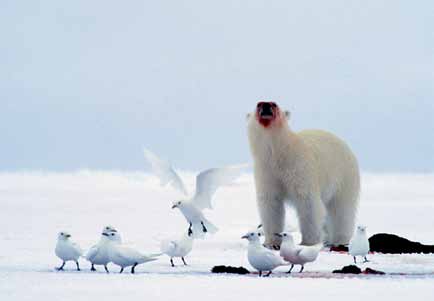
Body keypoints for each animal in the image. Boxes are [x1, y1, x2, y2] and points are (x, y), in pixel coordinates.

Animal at [248, 101, 360, 246]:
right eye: (259, 104)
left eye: (274, 104)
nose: (266, 105)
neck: (279, 153)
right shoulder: (266, 171)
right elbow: (270, 203)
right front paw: (272, 242)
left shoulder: (300, 168)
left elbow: (308, 203)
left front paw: (308, 242)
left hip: (344, 176)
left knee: (341, 209)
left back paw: (339, 240)